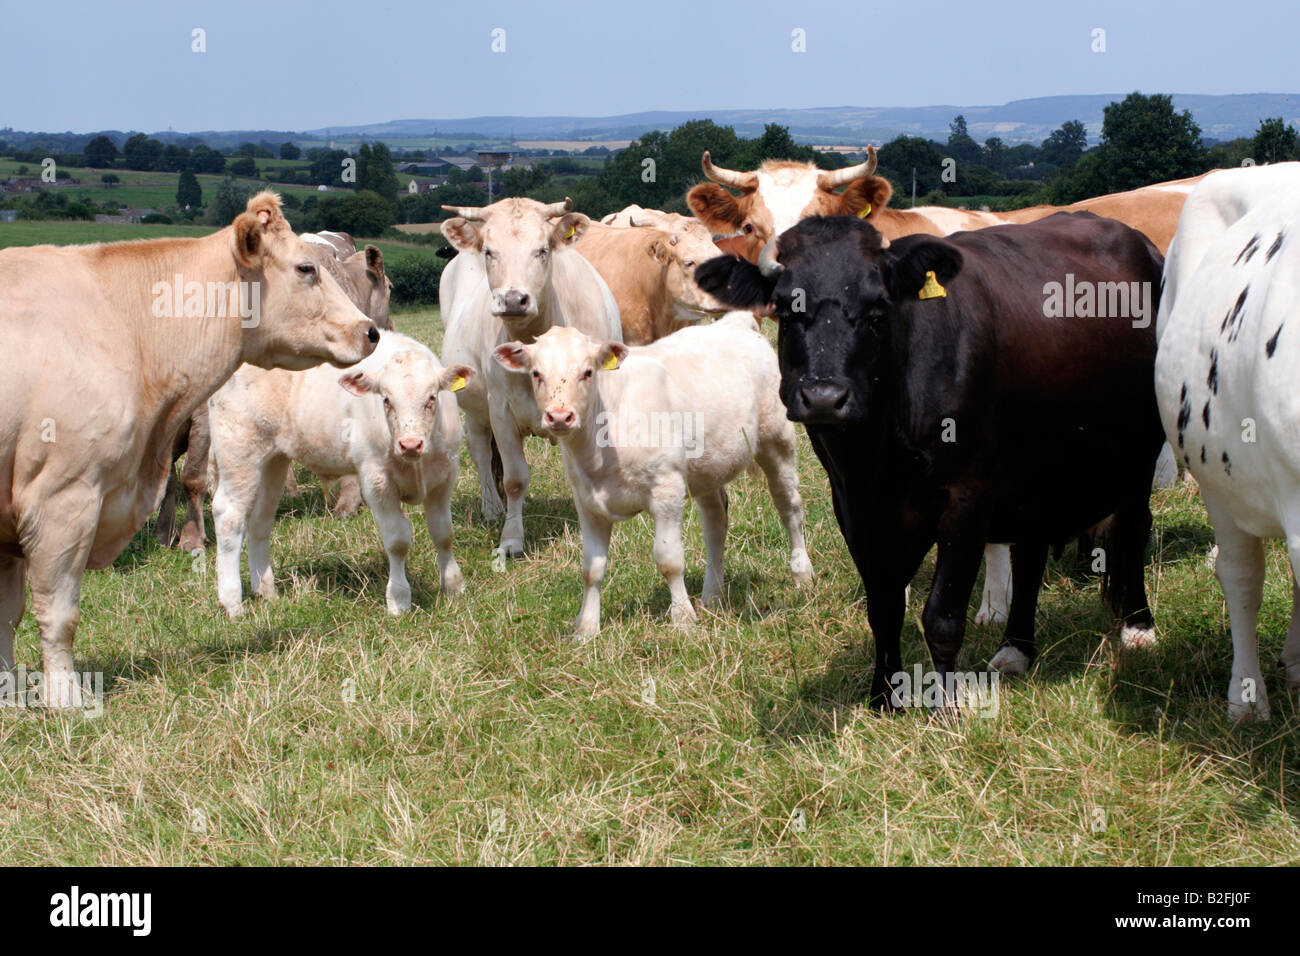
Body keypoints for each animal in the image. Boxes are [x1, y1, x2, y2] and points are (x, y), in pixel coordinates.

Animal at [0, 191, 377, 707]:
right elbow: (58, 613)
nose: (371, 331)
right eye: (306, 268)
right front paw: (65, 700)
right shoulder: (61, 499)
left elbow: (7, 615)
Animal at [210, 332, 475, 616]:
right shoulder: (376, 479)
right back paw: (232, 603)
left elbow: (443, 533)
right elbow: (397, 539)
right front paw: (399, 600)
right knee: (229, 518)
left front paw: (454, 587)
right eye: (386, 399)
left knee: (260, 521)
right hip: (238, 453)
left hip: (273, 461)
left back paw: (266, 591)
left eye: (432, 398)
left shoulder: (444, 476)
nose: (411, 444)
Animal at [493, 314, 811, 639]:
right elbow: (591, 569)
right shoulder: (587, 502)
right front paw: (586, 628)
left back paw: (802, 574)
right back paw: (712, 595)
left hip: (777, 439)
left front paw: (683, 618)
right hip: (706, 467)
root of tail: (737, 322)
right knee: (715, 521)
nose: (559, 416)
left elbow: (669, 560)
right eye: (536, 373)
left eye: (587, 372)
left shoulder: (666, 489)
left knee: (789, 508)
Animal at [702, 217, 1170, 712]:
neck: (879, 453)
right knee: (1031, 552)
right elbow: (884, 607)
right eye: (788, 311)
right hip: (1036, 471)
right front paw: (884, 695)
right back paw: (1017, 648)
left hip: (1138, 456)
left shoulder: (966, 500)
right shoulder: (852, 506)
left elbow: (942, 615)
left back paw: (1138, 627)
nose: (824, 397)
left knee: (1132, 529)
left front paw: (945, 704)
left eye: (877, 310)